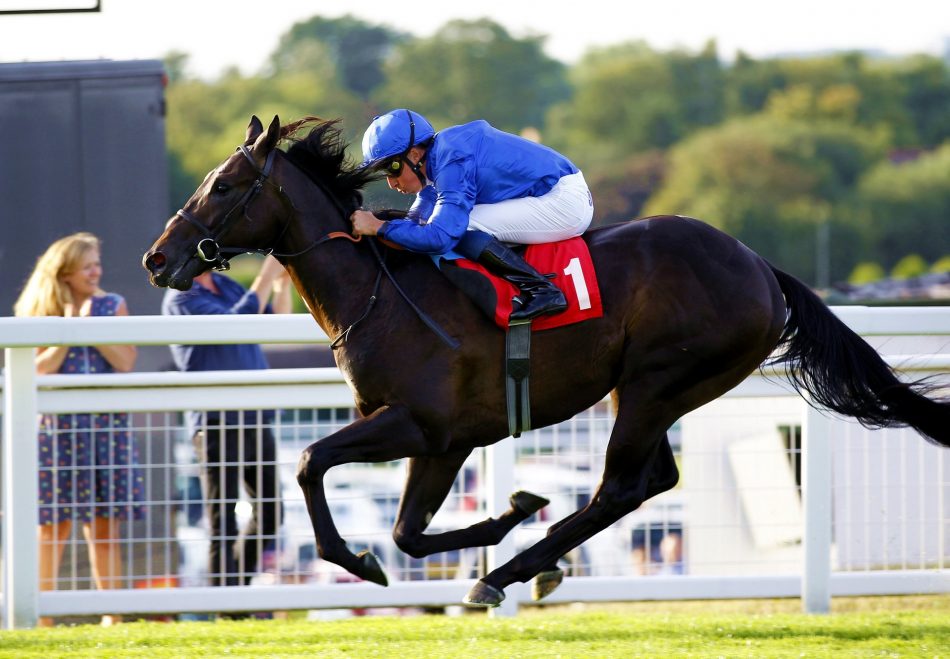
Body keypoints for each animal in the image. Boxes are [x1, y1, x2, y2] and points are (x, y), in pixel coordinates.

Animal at [143, 115, 950, 607]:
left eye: (222, 185)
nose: (157, 259)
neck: (380, 290)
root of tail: (759, 265)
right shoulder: (442, 439)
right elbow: (407, 531)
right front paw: (509, 511)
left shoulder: (423, 424)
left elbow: (313, 463)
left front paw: (371, 559)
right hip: (649, 389)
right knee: (650, 481)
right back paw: (524, 563)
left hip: (658, 382)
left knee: (620, 487)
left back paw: (506, 574)